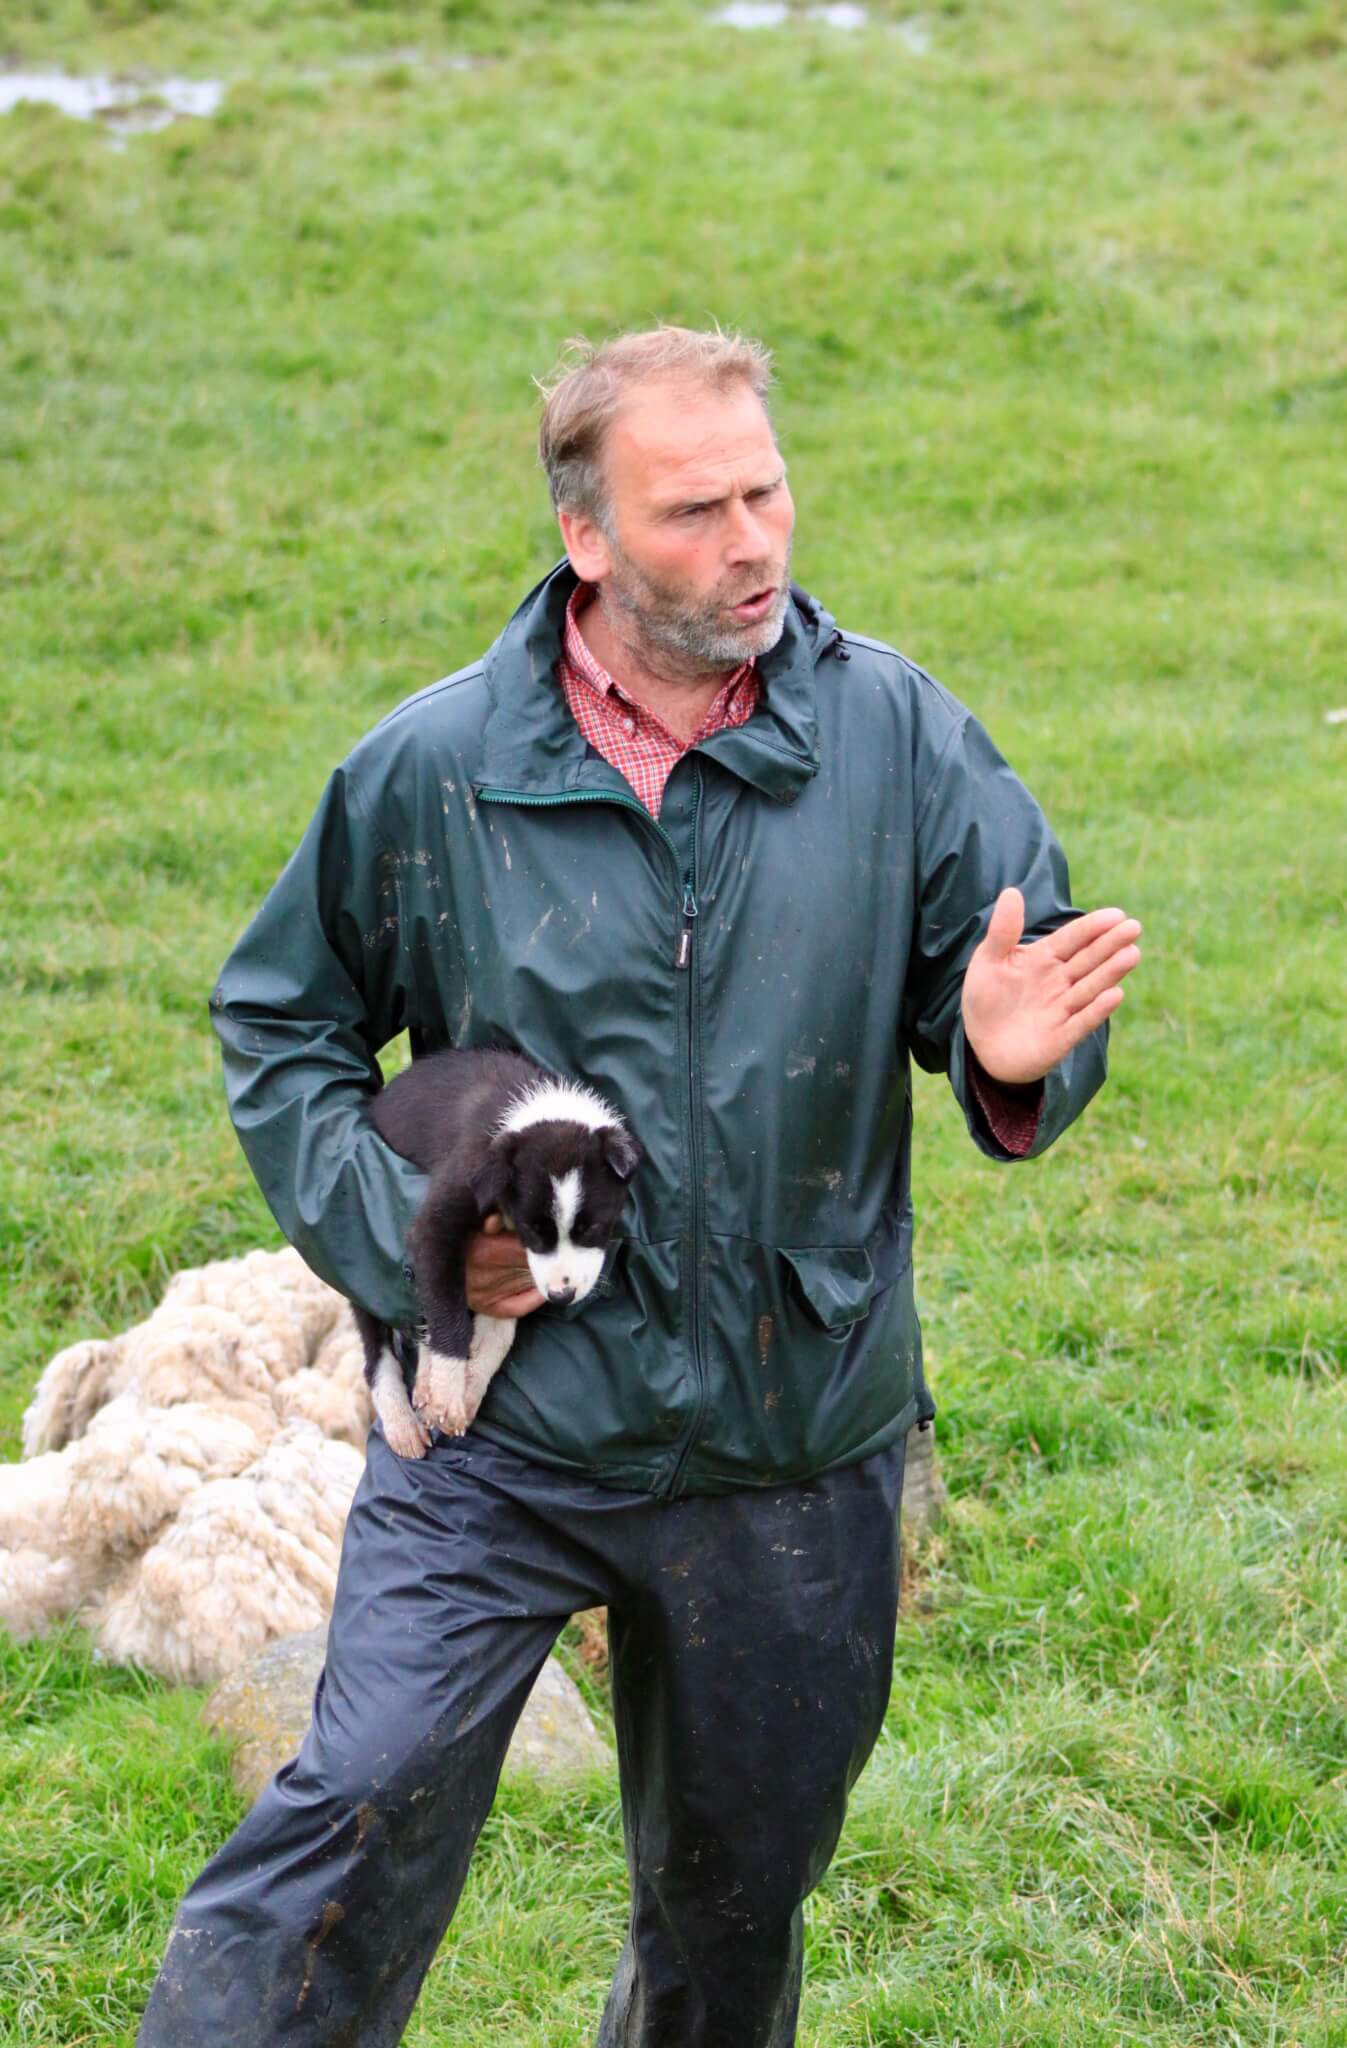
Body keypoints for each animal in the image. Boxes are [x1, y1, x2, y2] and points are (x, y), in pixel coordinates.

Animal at [348, 1048, 638, 1466]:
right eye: (533, 1231)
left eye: (592, 1229)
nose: (561, 1296)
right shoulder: (440, 1219)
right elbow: (450, 1312)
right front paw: (449, 1390)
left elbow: (498, 1333)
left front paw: (469, 1388)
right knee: (377, 1350)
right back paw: (402, 1421)